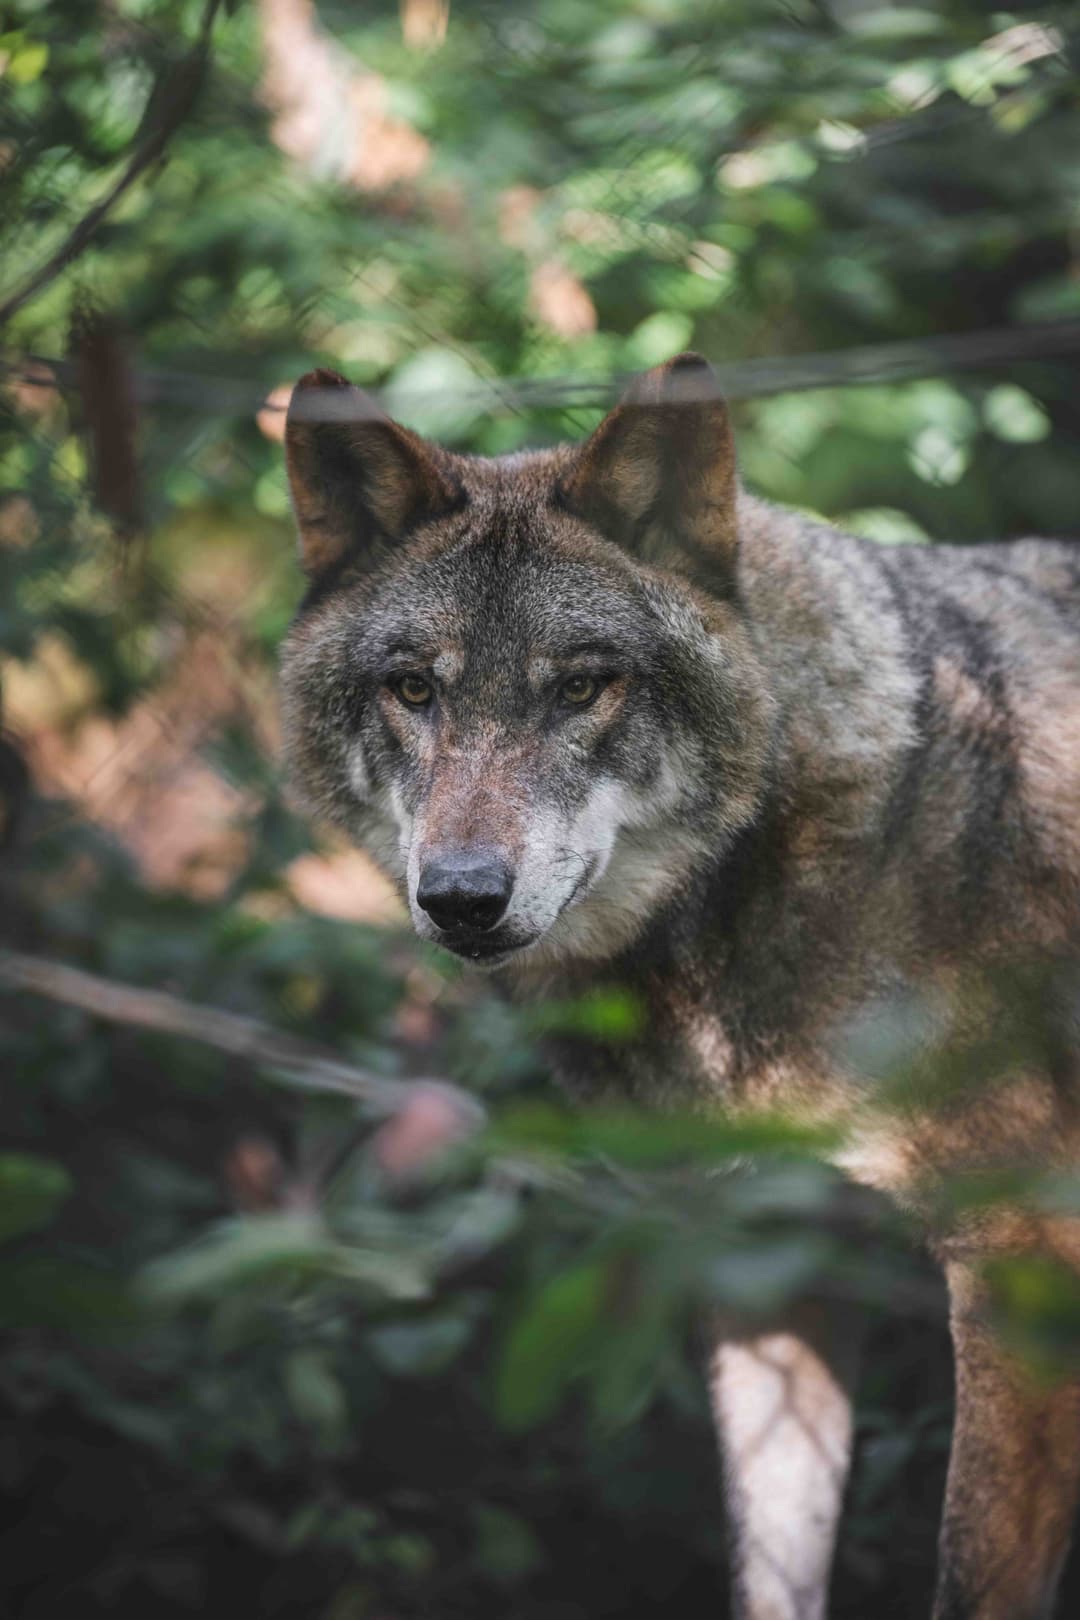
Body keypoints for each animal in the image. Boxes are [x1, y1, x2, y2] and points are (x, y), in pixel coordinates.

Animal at [278, 352, 1080, 1620]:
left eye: (582, 689)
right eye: (413, 690)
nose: (461, 897)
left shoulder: (1027, 1258)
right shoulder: (768, 1276)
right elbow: (773, 1577)